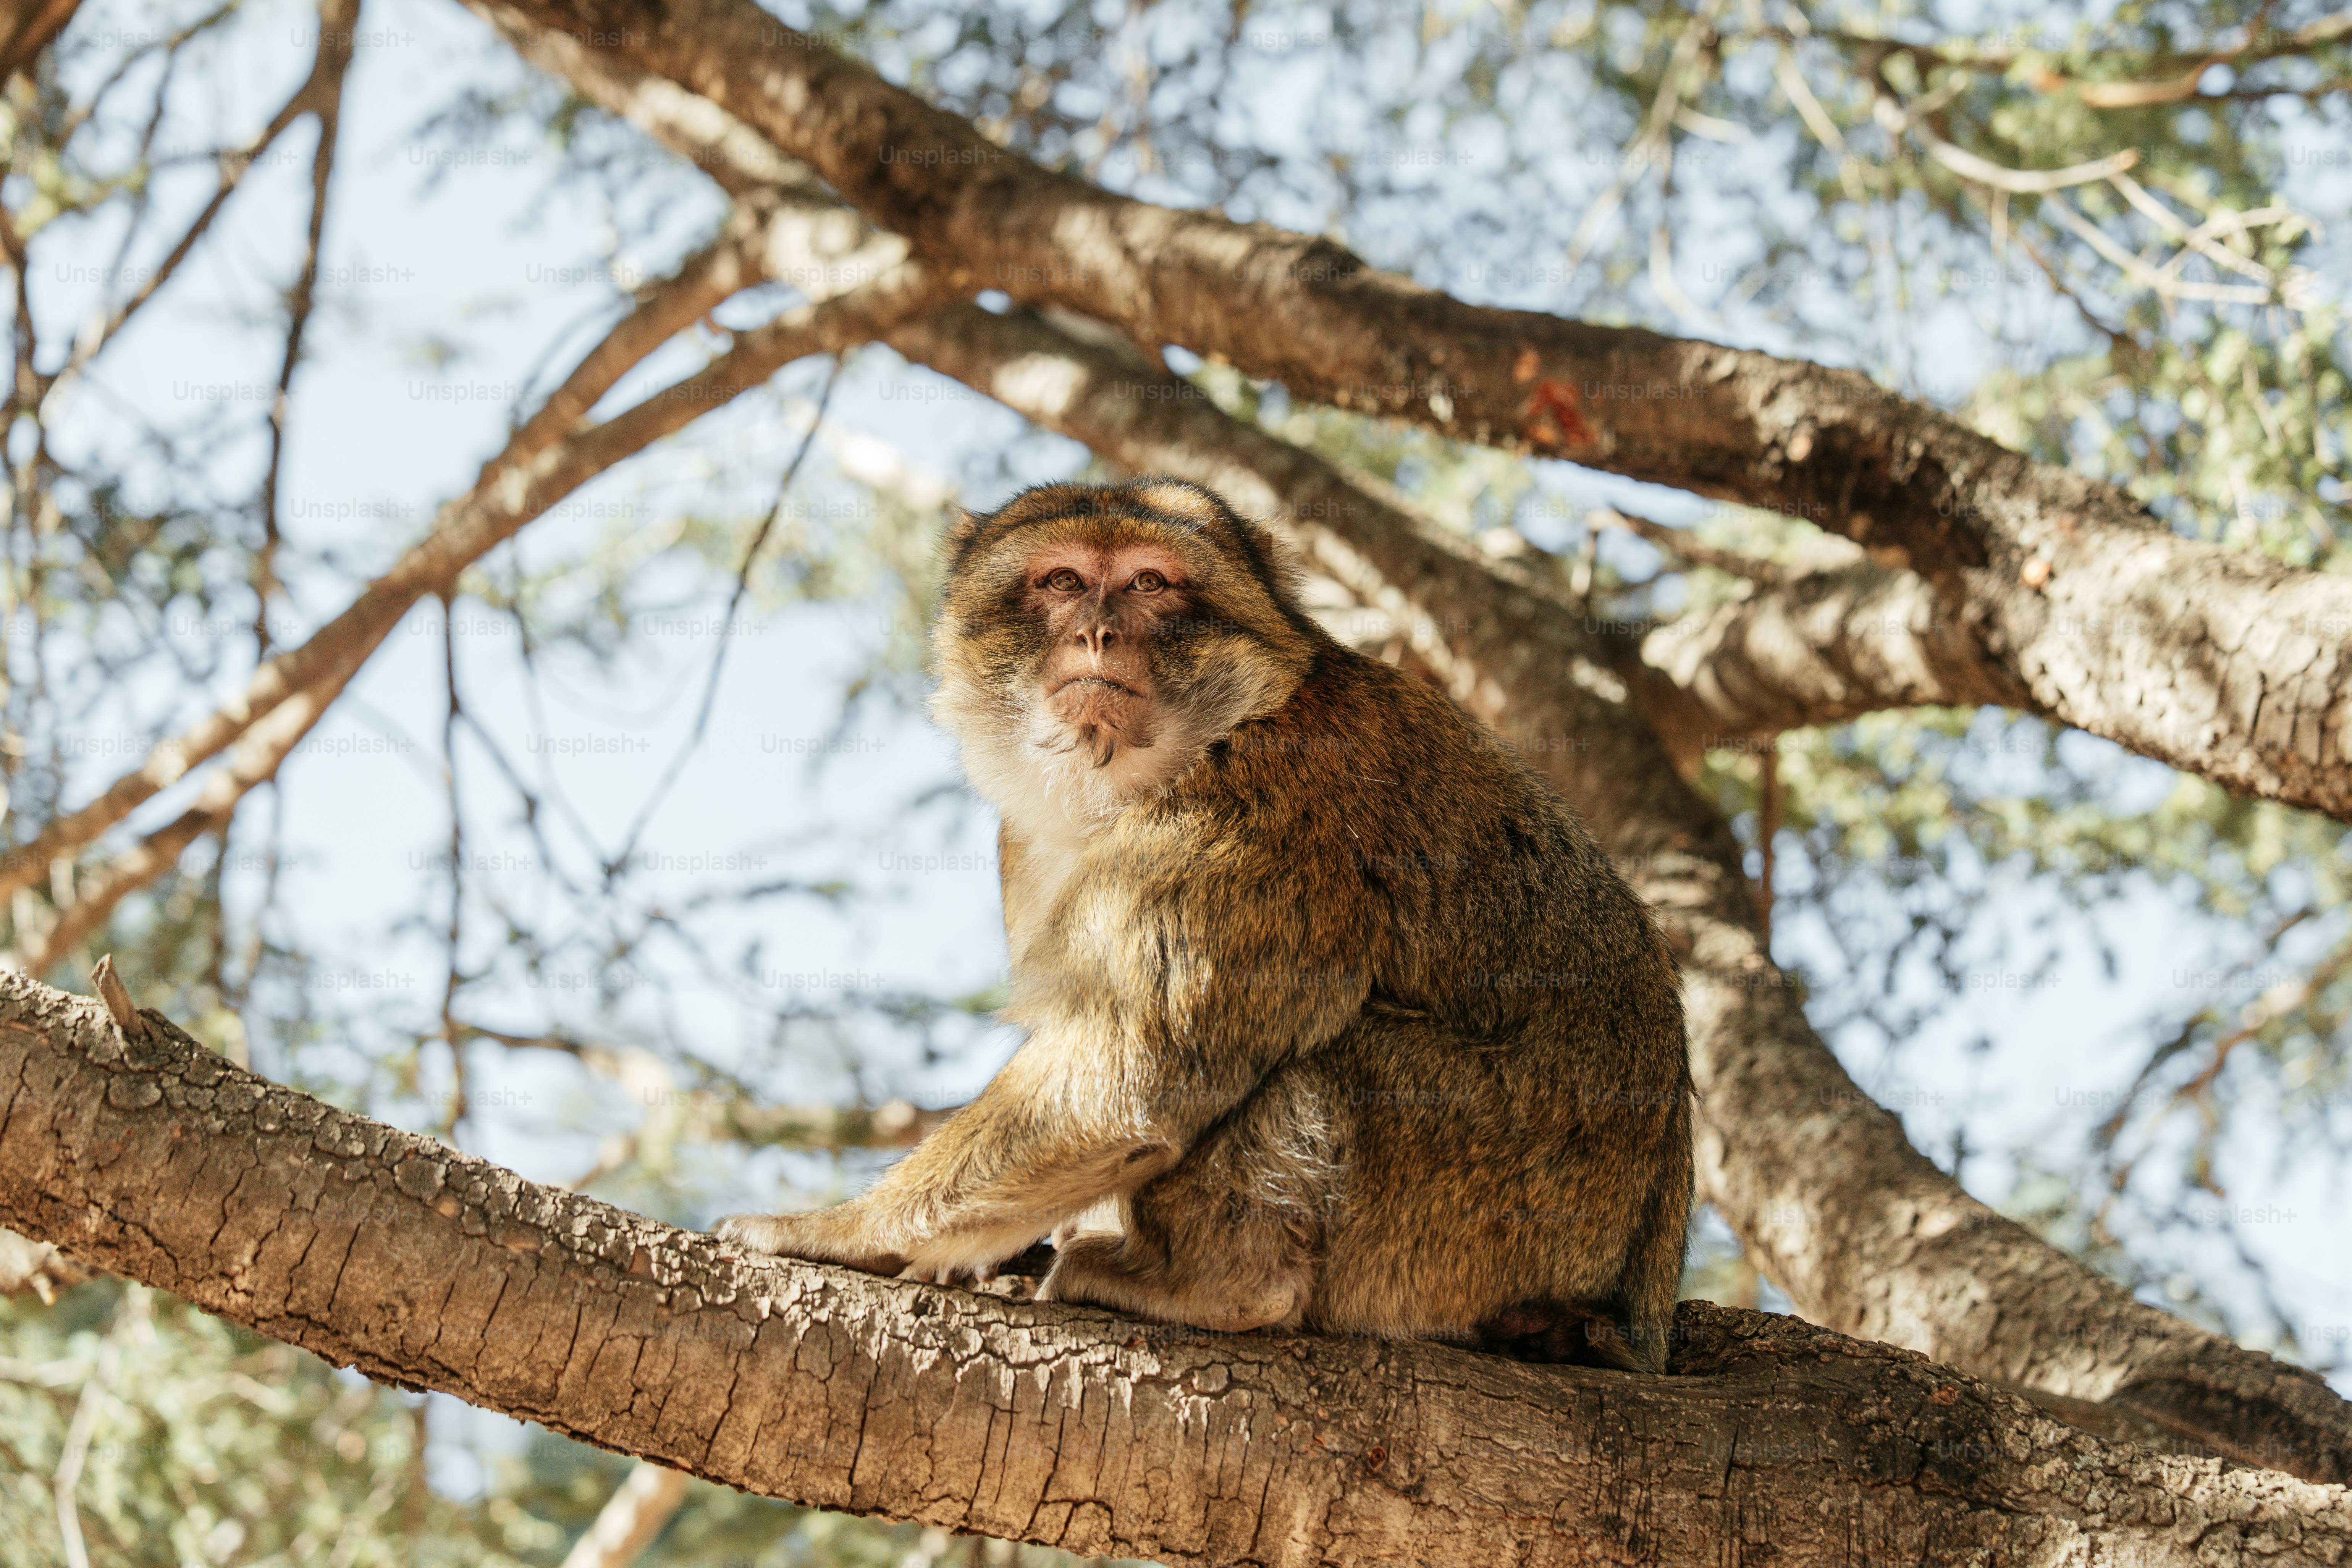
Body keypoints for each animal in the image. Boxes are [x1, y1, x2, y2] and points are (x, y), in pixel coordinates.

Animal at [716, 477, 1692, 1371]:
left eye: (1150, 582)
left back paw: (1220, 1286)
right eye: (1061, 580)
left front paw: (845, 1229)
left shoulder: (1256, 814)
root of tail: (1635, 1303)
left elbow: (1130, 1075)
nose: (1096, 632)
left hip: (1491, 1207)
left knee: (1328, 1056)